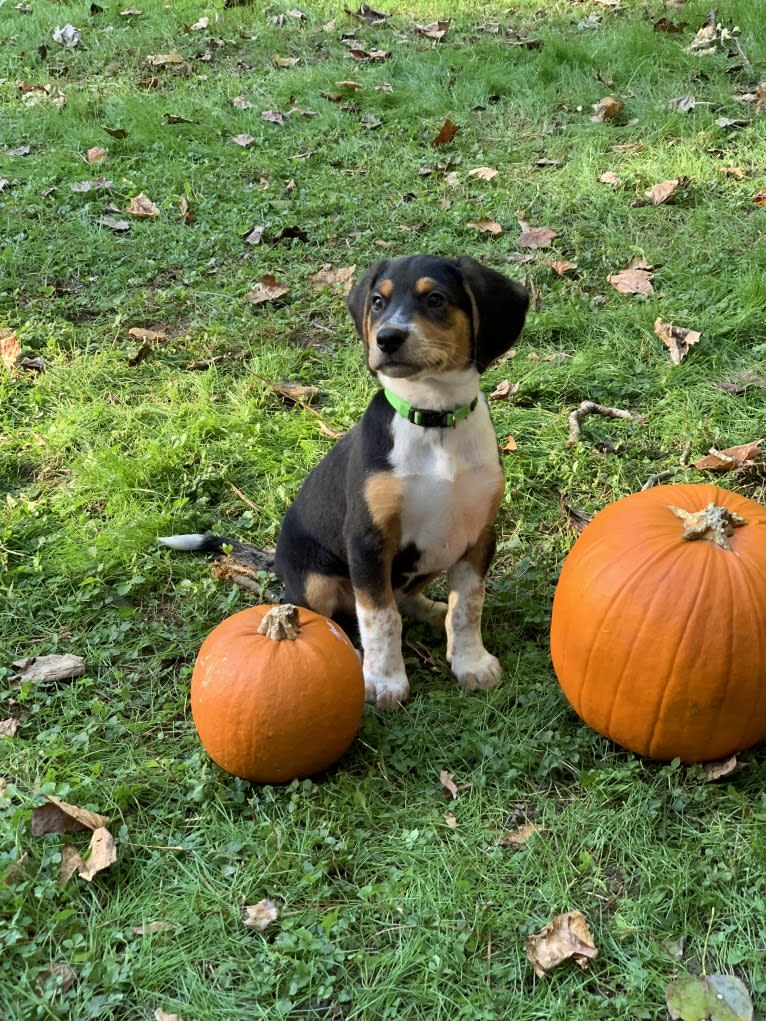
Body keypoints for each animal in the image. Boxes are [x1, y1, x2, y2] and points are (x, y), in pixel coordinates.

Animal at [165, 255, 531, 710]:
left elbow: (467, 607)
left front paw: (471, 661)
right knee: (325, 614)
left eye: (436, 299)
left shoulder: (478, 535)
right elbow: (379, 617)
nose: (388, 338)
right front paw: (384, 680)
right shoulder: (368, 541)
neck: (433, 420)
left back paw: (434, 612)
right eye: (377, 301)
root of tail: (279, 562)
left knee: (406, 597)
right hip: (316, 581)